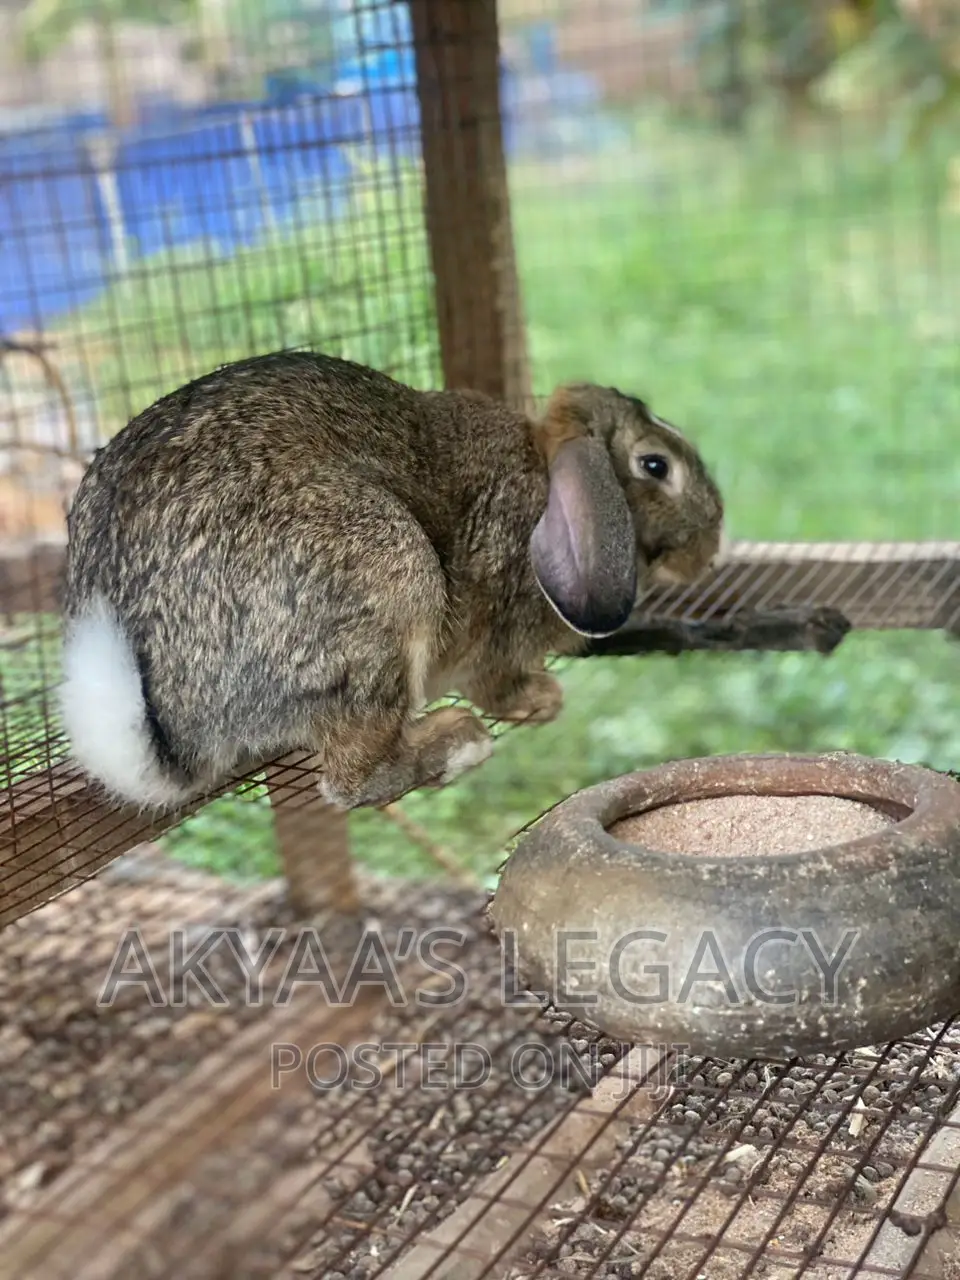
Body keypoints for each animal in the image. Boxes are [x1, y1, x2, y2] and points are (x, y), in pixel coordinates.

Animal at [58, 350, 725, 814]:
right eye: (656, 465)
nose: (711, 546)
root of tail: (177, 723)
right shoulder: (500, 628)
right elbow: (497, 682)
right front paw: (540, 701)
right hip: (390, 583)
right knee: (352, 782)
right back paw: (457, 742)